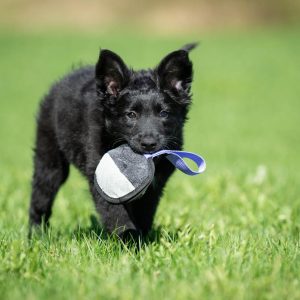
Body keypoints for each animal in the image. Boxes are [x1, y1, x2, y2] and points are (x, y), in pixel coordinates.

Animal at [28, 42, 197, 239]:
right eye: (131, 114)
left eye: (163, 113)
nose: (148, 144)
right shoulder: (100, 175)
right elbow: (116, 214)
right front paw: (129, 238)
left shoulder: (154, 186)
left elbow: (144, 214)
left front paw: (142, 240)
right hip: (50, 160)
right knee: (41, 196)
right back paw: (36, 234)